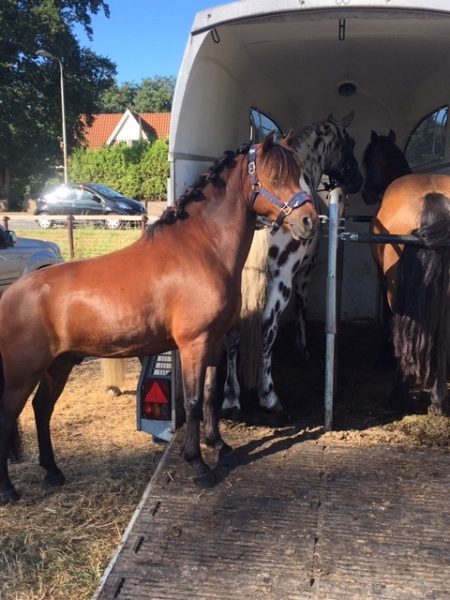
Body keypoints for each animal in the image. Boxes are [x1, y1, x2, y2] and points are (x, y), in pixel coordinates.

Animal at [0, 135, 320, 502]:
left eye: (298, 174)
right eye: (276, 176)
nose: (310, 221)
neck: (201, 250)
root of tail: (10, 295)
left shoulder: (214, 342)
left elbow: (210, 394)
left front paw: (219, 446)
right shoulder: (193, 344)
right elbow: (193, 402)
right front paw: (198, 465)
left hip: (59, 364)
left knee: (42, 408)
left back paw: (53, 472)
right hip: (23, 373)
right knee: (9, 416)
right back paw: (8, 489)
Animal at [362, 129, 450, 414]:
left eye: (368, 160)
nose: (366, 193)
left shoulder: (383, 280)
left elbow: (388, 318)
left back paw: (398, 395)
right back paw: (438, 399)